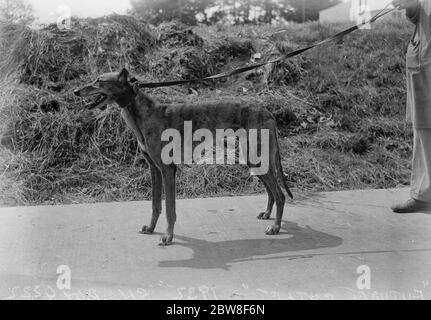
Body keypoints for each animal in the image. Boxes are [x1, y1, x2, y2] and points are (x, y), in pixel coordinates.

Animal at [75, 69, 294, 245]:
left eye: (99, 81)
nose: (75, 91)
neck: (143, 113)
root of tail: (267, 110)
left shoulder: (168, 169)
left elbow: (169, 208)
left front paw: (168, 237)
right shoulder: (154, 169)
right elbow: (155, 205)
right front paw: (151, 228)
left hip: (257, 156)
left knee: (280, 194)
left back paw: (275, 227)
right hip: (253, 159)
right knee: (272, 191)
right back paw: (268, 215)